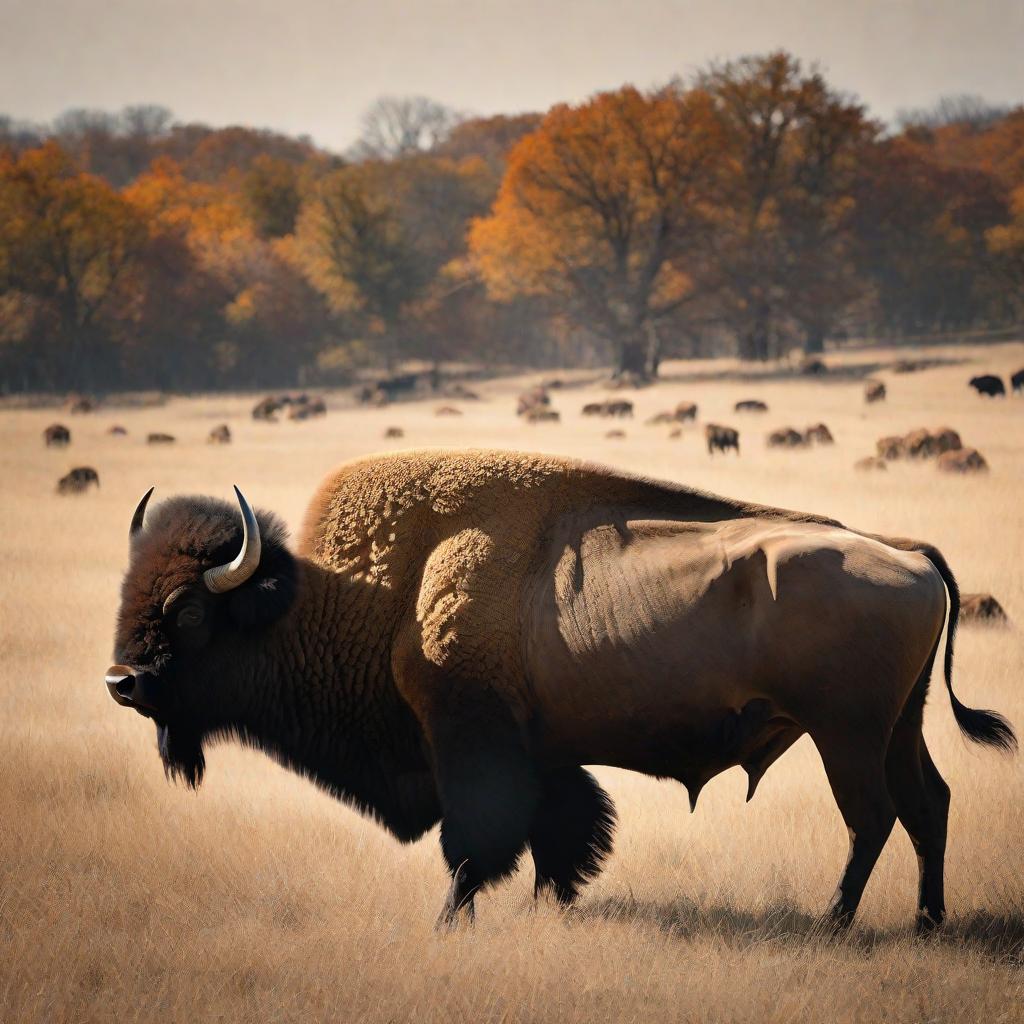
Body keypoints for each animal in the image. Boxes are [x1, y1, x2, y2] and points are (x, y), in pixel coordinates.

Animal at [105, 452, 1015, 933]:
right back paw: (927, 922)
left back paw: (834, 923)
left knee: (873, 817)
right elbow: (561, 832)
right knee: (927, 804)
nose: (121, 681)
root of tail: (906, 552)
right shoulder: (540, 757)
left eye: (188, 611)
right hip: (899, 725)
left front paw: (450, 924)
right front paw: (551, 908)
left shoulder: (471, 744)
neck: (375, 598)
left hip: (845, 733)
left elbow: (475, 844)